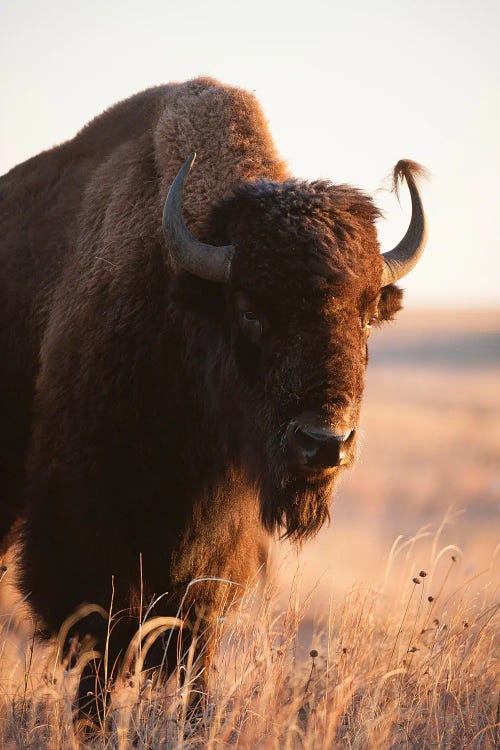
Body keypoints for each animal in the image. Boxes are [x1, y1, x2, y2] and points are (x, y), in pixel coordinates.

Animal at [0, 76, 428, 716]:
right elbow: (103, 638)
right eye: (251, 310)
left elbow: (194, 637)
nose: (325, 443)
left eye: (366, 313)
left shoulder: (219, 542)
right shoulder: (88, 520)